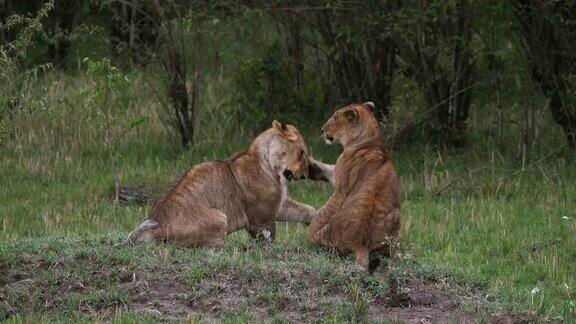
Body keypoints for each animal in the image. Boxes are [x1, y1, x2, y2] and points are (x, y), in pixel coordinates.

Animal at [129, 121, 316, 248]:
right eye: (301, 153)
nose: (305, 174)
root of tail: (158, 226)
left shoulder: (277, 204)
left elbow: (306, 209)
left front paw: (315, 220)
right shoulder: (261, 217)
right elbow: (268, 237)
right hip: (220, 218)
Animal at [306, 102, 400, 272]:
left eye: (335, 118)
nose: (322, 130)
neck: (373, 141)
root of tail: (361, 244)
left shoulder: (341, 186)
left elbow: (324, 210)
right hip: (396, 218)